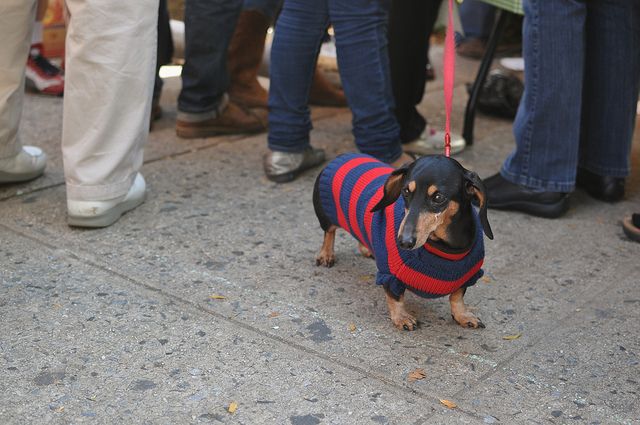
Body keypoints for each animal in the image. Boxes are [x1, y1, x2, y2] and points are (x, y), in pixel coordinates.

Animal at [312, 154, 492, 330]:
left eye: (438, 197)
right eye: (405, 191)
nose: (404, 242)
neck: (447, 247)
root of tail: (342, 156)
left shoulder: (468, 277)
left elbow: (457, 297)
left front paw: (463, 315)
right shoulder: (390, 275)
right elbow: (395, 297)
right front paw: (401, 317)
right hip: (326, 216)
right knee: (329, 233)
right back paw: (326, 254)